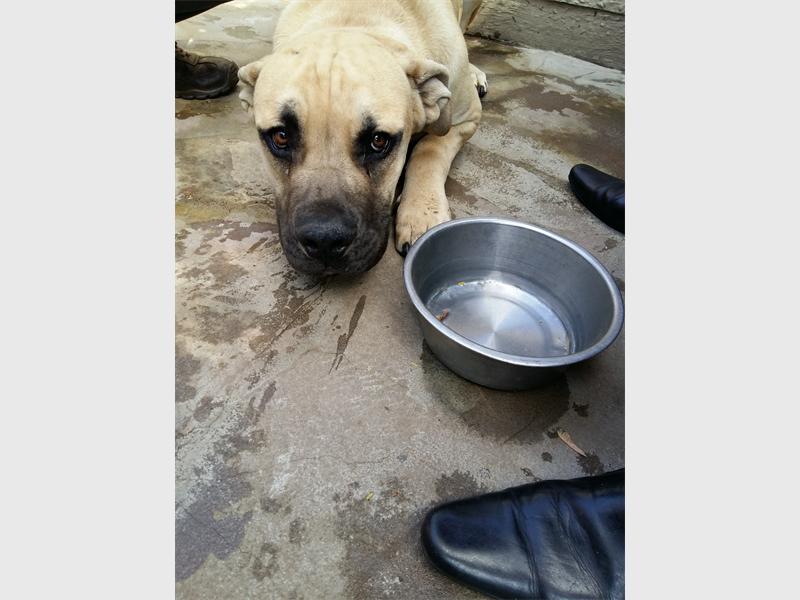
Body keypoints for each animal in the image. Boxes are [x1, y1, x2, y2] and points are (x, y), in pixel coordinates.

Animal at [238, 0, 486, 274]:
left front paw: (421, 212)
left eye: (379, 140)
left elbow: (429, 149)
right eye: (281, 137)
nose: (324, 241)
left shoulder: (467, 117)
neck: (356, 17)